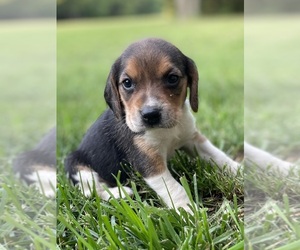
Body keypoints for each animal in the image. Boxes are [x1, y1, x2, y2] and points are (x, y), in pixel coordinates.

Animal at [65, 38, 239, 211]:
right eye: (127, 83)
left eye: (172, 78)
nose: (150, 115)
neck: (167, 130)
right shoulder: (149, 161)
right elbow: (174, 188)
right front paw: (187, 210)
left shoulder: (192, 138)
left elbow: (217, 155)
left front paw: (239, 170)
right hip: (77, 166)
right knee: (91, 191)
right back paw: (120, 194)